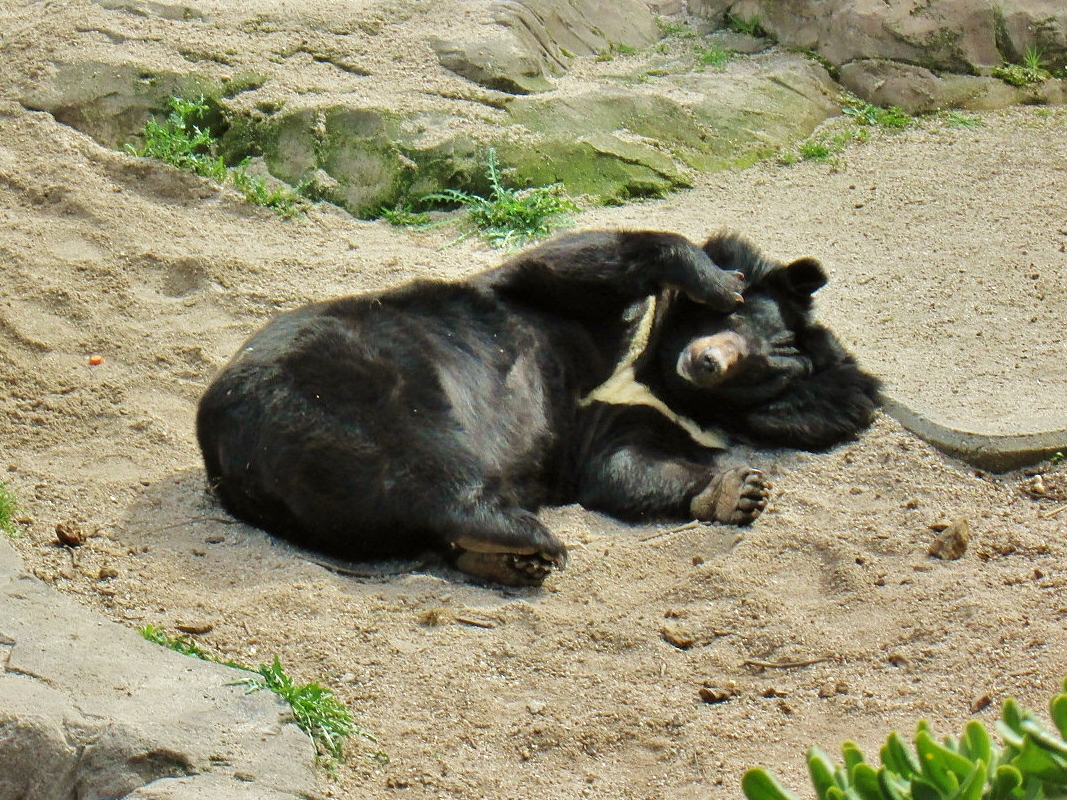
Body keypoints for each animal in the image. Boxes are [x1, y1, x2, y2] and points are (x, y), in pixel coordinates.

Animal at [196, 228, 879, 584]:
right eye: (741, 323)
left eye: (761, 371)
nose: (709, 361)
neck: (648, 373)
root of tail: (231, 458)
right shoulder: (554, 306)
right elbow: (579, 260)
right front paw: (717, 278)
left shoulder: (610, 425)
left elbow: (625, 466)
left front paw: (737, 491)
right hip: (357, 395)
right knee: (429, 466)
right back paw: (525, 537)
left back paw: (507, 552)